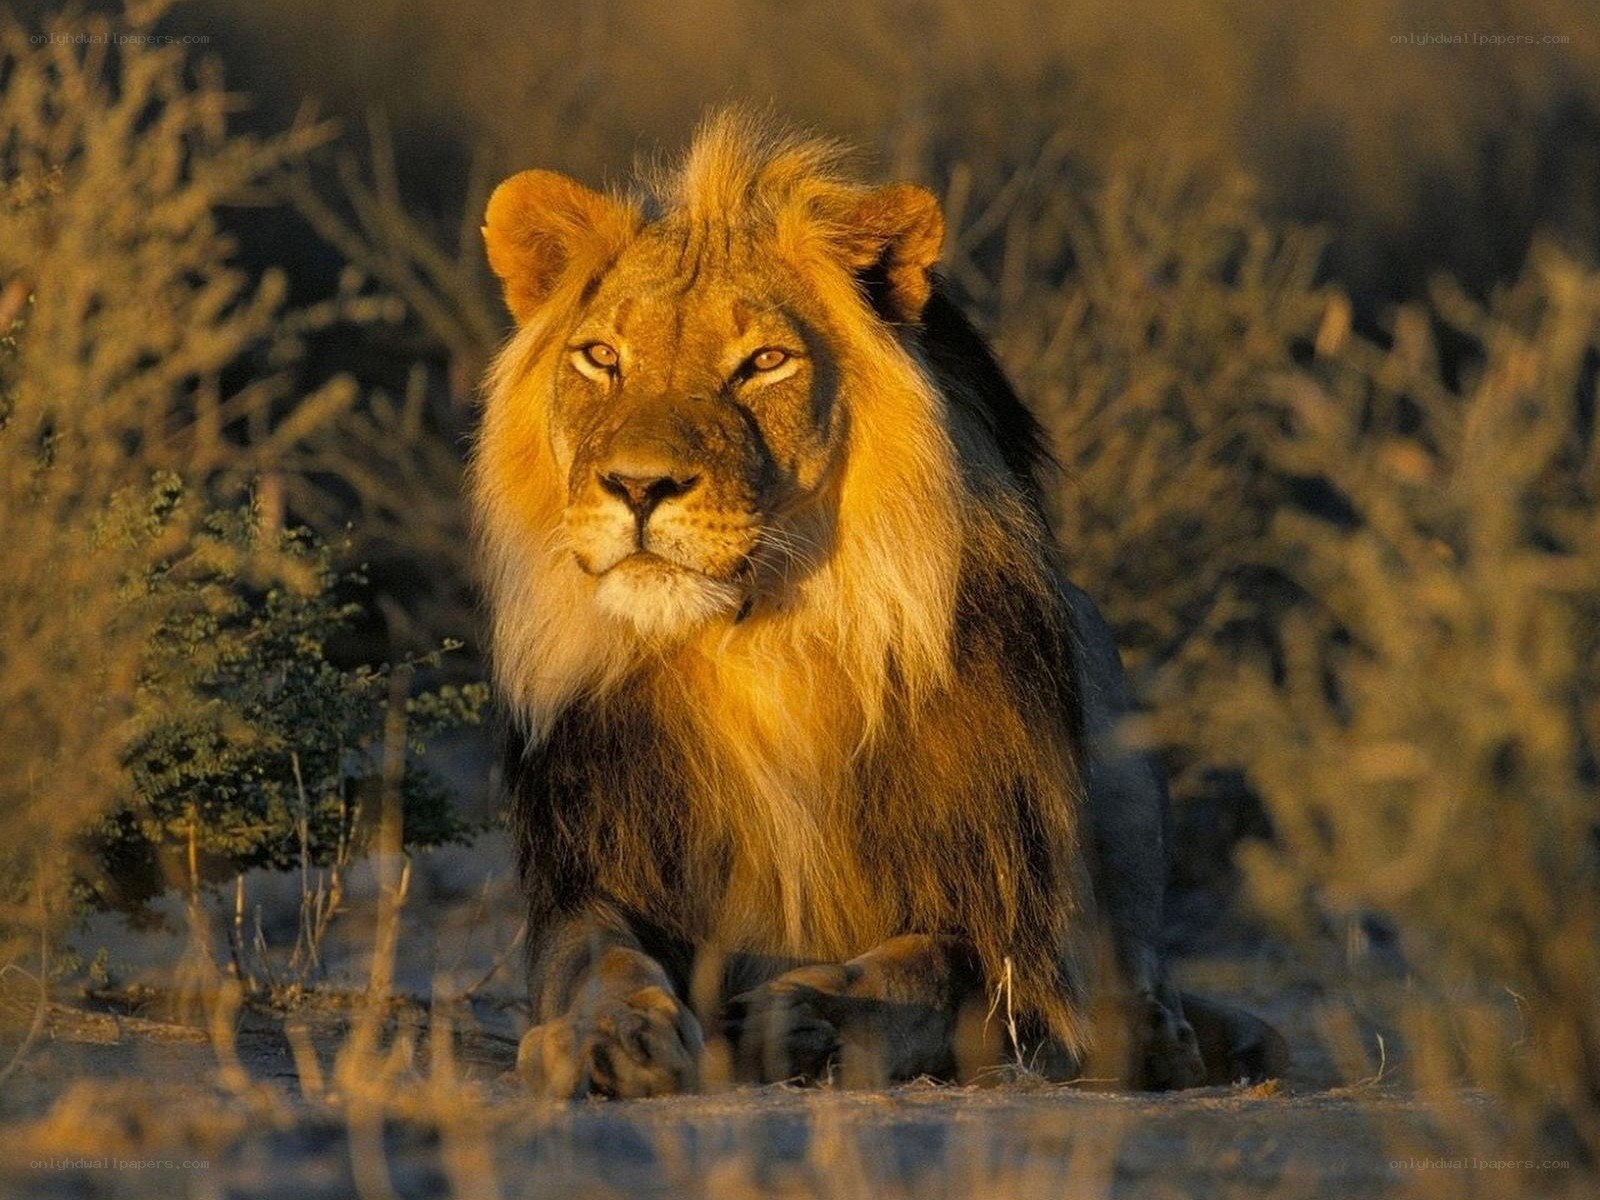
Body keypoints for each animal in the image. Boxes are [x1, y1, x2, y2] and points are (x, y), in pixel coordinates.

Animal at [472, 111, 1287, 1099]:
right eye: (601, 357)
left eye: (764, 363)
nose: (637, 486)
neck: (760, 647)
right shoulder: (592, 871)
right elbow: (597, 959)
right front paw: (612, 1035)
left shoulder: (1020, 934)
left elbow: (934, 966)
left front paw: (804, 1017)